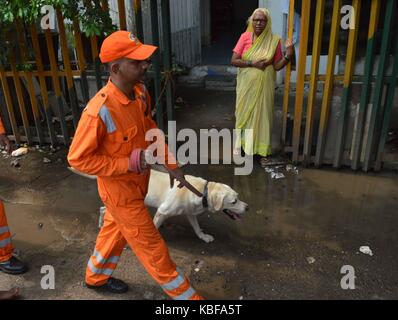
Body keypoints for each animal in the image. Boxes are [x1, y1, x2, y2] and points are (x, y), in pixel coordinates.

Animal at [69, 168, 249, 242]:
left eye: (238, 197)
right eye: (234, 201)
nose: (248, 207)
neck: (201, 191)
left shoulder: (190, 213)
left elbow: (197, 228)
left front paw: (203, 237)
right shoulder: (163, 211)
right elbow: (155, 227)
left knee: (102, 209)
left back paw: (101, 224)